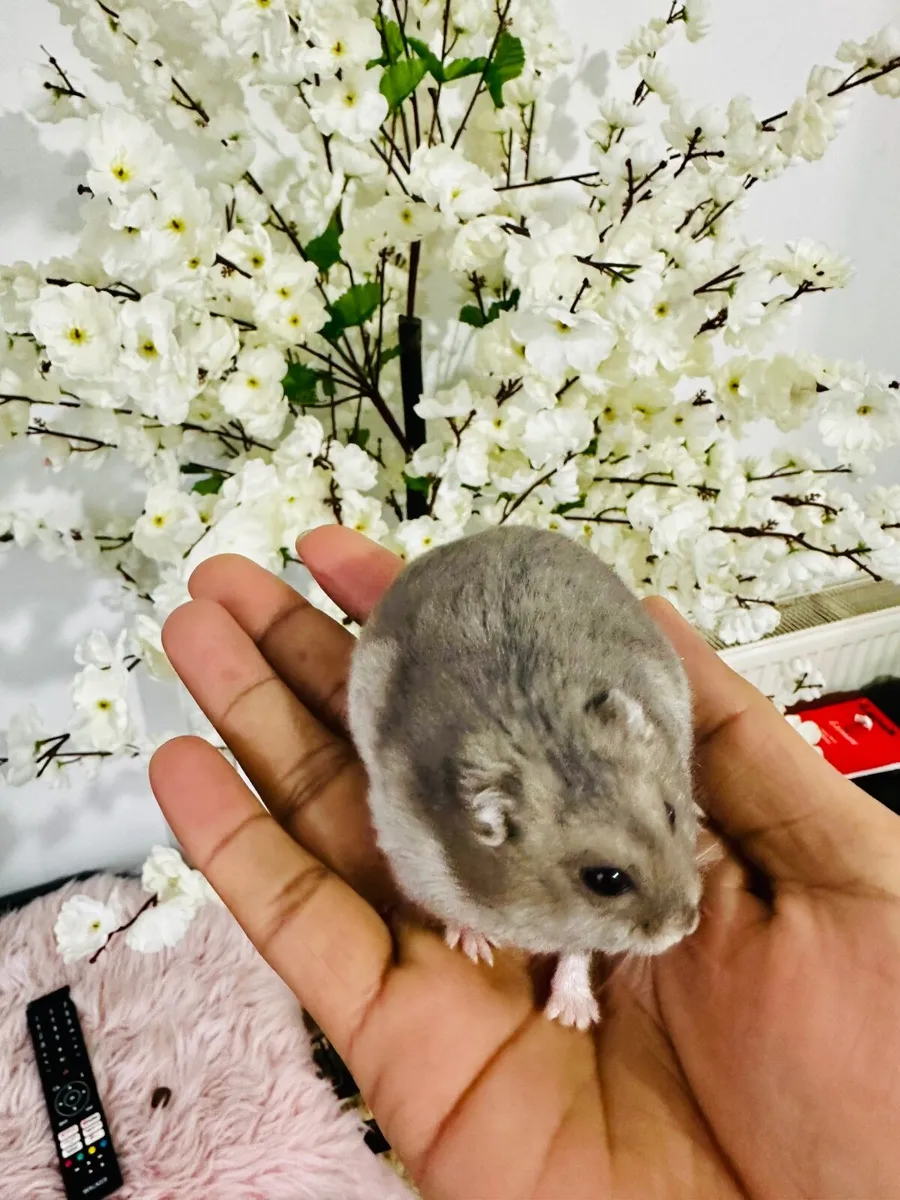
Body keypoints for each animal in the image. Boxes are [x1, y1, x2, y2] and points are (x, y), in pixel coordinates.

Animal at [347, 526, 701, 1030]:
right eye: (606, 880)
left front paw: (570, 1018)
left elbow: (577, 949)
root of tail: (487, 535)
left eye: (671, 813)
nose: (688, 924)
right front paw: (477, 949)